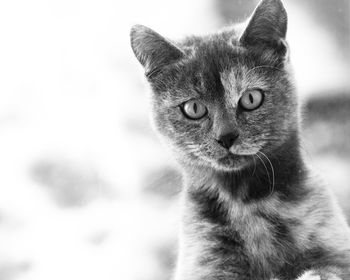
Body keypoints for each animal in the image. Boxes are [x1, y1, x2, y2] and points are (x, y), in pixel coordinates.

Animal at [131, 0, 350, 278]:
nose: (226, 136)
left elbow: (327, 268)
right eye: (193, 108)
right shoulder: (206, 262)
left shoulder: (335, 248)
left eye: (251, 98)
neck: (249, 203)